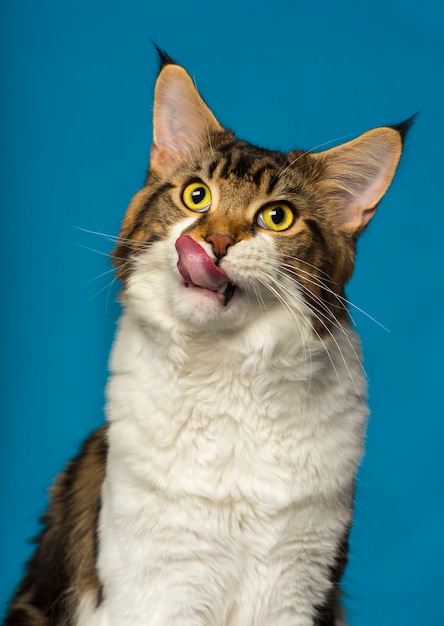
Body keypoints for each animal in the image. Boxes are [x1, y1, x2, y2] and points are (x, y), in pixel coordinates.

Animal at [4, 50, 412, 624]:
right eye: (196, 195)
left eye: (277, 217)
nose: (213, 242)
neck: (229, 371)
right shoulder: (158, 585)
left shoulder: (298, 583)